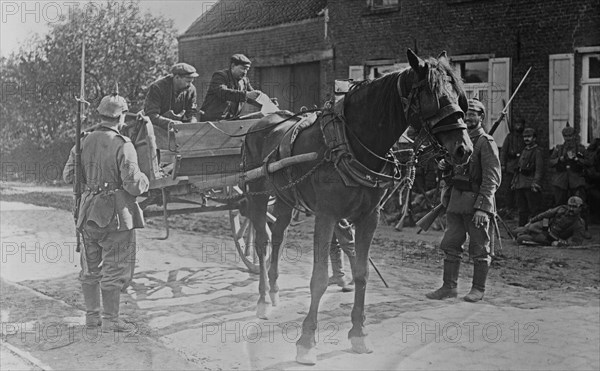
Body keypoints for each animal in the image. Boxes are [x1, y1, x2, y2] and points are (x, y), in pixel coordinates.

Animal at [243, 48, 474, 364]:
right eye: (435, 96)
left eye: (460, 95)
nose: (464, 148)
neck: (350, 143)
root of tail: (260, 122)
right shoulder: (326, 215)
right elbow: (319, 278)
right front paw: (307, 341)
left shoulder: (369, 218)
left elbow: (362, 273)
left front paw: (359, 334)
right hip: (256, 194)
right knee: (262, 242)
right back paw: (263, 299)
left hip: (284, 198)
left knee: (278, 235)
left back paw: (276, 289)